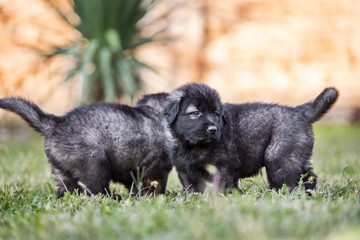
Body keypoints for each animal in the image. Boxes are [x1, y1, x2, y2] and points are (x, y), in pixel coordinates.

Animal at [0, 93, 172, 198]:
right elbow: (154, 185)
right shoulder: (154, 168)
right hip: (95, 163)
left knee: (66, 189)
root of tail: (56, 123)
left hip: (63, 171)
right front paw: (155, 198)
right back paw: (114, 198)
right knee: (96, 190)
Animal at [165, 82, 338, 193]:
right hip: (297, 156)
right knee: (309, 176)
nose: (213, 129)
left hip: (279, 158)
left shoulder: (224, 166)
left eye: (216, 113)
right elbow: (192, 189)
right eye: (196, 113)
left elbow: (221, 187)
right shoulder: (184, 171)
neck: (192, 145)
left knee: (288, 181)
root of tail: (299, 112)